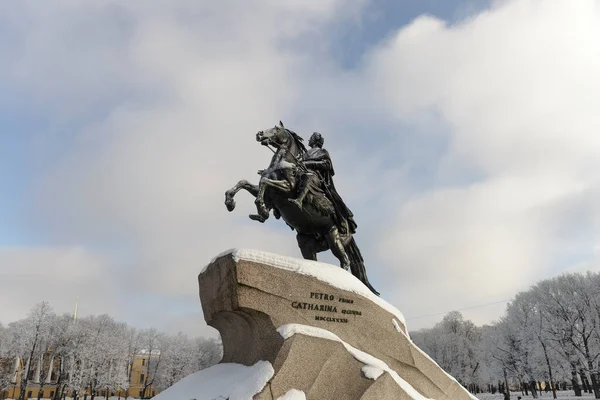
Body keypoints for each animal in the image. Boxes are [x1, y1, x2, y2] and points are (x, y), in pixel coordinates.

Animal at [225, 122, 380, 296]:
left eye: (276, 129)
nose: (260, 134)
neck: (282, 163)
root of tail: (351, 233)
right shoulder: (268, 193)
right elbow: (244, 183)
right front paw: (231, 203)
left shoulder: (287, 187)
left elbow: (265, 182)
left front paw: (262, 209)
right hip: (306, 243)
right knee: (315, 259)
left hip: (334, 238)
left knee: (344, 261)